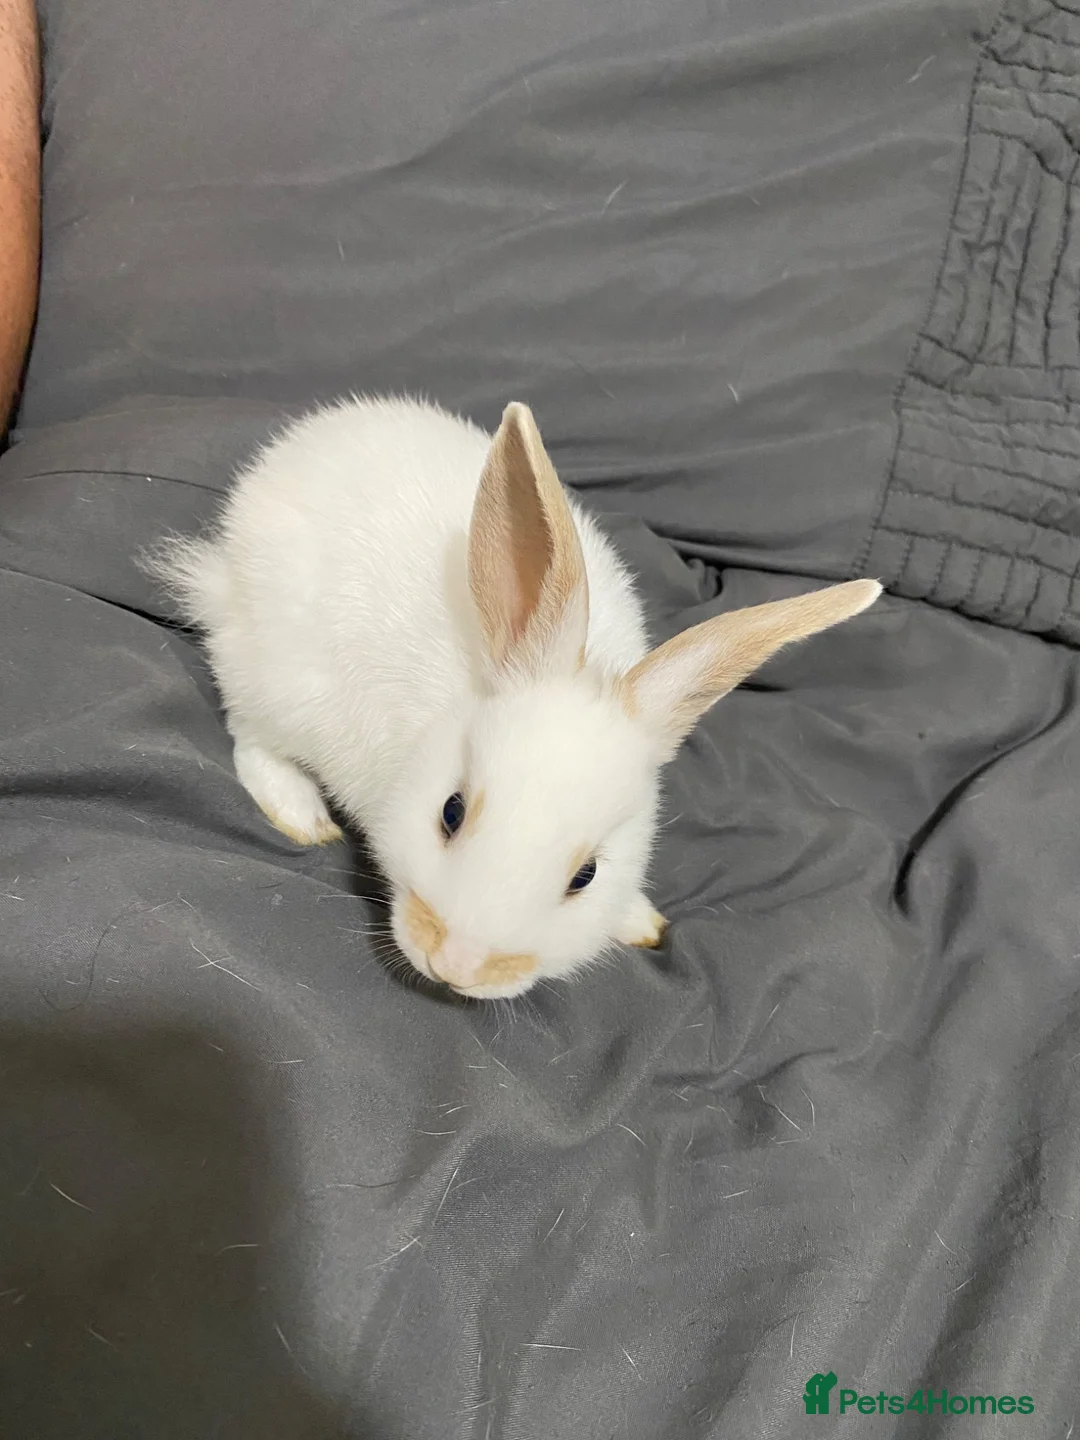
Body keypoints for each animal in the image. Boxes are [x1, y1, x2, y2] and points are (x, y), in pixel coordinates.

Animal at [144, 395, 880, 1000]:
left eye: (586, 876)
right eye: (450, 812)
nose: (460, 966)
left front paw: (638, 920)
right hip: (272, 676)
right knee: (253, 740)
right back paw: (302, 815)